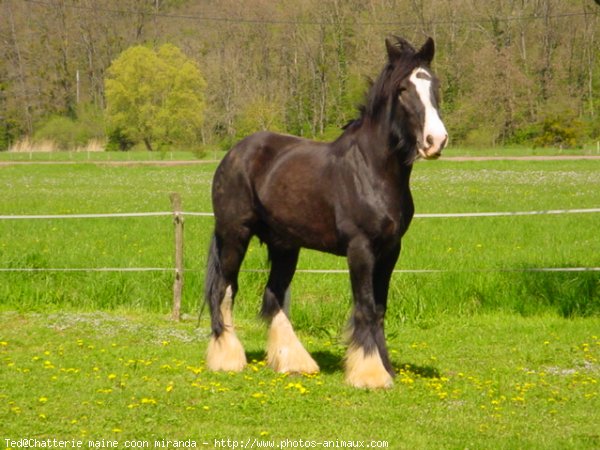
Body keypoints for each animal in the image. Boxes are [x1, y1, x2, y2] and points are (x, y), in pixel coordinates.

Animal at [205, 36, 446, 386]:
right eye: (403, 89)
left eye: (434, 85)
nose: (435, 141)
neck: (371, 170)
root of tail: (234, 153)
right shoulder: (360, 248)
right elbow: (365, 306)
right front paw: (369, 373)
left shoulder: (390, 251)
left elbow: (380, 308)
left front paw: (384, 368)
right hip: (234, 235)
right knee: (224, 289)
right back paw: (226, 358)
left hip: (285, 245)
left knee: (273, 294)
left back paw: (293, 362)